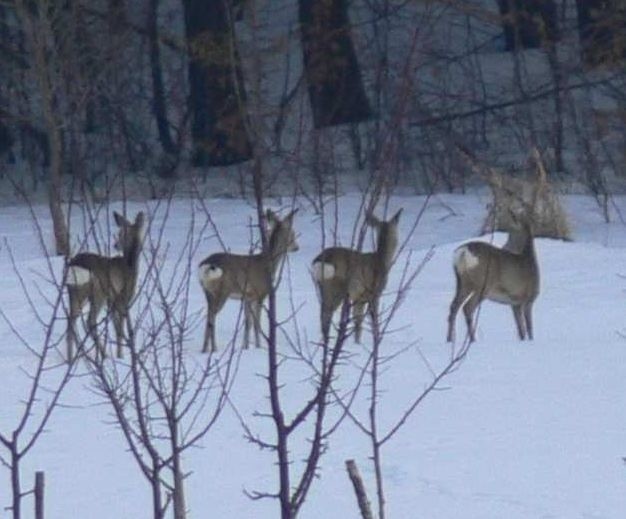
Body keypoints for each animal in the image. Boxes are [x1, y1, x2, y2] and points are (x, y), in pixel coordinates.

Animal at [65, 211, 146, 362]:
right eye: (120, 233)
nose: (115, 245)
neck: (130, 266)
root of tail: (76, 266)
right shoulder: (123, 297)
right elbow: (120, 329)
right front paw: (121, 356)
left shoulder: (111, 301)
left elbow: (115, 326)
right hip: (98, 292)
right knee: (89, 322)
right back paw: (103, 355)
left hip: (75, 292)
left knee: (70, 322)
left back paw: (72, 358)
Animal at [199, 208, 298, 354]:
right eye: (292, 233)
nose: (297, 247)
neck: (268, 265)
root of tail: (206, 265)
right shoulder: (260, 294)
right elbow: (256, 324)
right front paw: (259, 347)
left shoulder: (247, 297)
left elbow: (247, 324)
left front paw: (245, 347)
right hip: (222, 291)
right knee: (212, 318)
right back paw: (214, 349)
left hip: (207, 292)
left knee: (208, 318)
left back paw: (204, 349)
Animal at [310, 209, 402, 344]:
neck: (381, 260)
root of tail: (321, 260)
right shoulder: (373, 293)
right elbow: (370, 321)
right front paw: (369, 341)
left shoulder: (358, 297)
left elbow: (357, 320)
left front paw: (356, 342)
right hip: (336, 286)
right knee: (326, 314)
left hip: (322, 286)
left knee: (322, 313)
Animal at [446, 213, 540, 344]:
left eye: (511, 233)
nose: (505, 247)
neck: (529, 260)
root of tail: (463, 253)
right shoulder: (528, 299)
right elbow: (529, 328)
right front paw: (531, 342)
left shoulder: (514, 304)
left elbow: (521, 330)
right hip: (483, 284)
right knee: (467, 308)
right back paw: (472, 340)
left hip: (462, 282)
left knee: (454, 307)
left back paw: (449, 340)